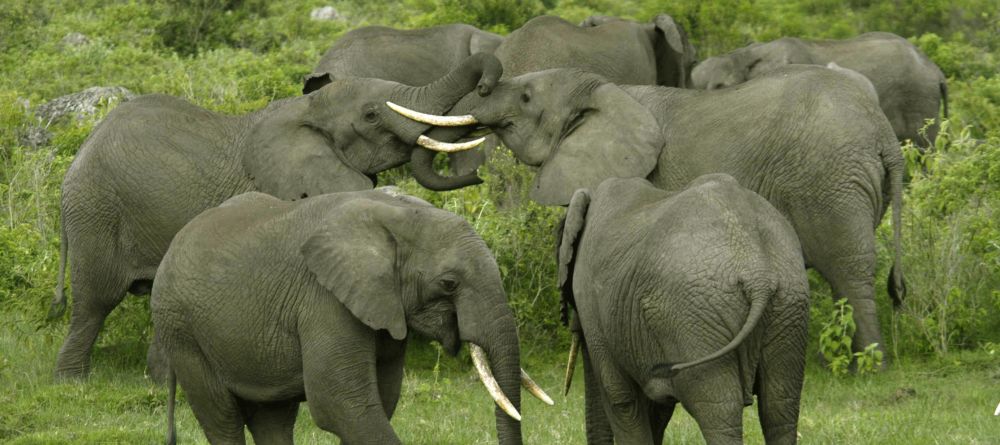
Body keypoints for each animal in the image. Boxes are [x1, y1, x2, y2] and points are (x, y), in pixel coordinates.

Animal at [48, 52, 500, 378]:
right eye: (371, 115)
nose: (485, 85)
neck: (307, 108)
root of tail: (79, 156)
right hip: (96, 212)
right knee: (94, 302)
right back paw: (74, 381)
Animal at [152, 188, 552, 444]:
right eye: (449, 283)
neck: (397, 213)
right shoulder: (323, 299)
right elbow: (342, 403)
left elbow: (380, 400)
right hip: (181, 329)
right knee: (222, 418)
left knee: (273, 419)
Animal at [396, 63, 908, 360]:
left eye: (525, 98)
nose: (477, 180)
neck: (605, 92)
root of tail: (882, 130)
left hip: (832, 180)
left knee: (849, 268)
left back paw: (867, 365)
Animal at [560, 176, 808, 444]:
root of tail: (757, 272)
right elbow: (656, 407)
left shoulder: (591, 301)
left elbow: (621, 397)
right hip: (788, 305)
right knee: (780, 408)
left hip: (696, 320)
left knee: (719, 409)